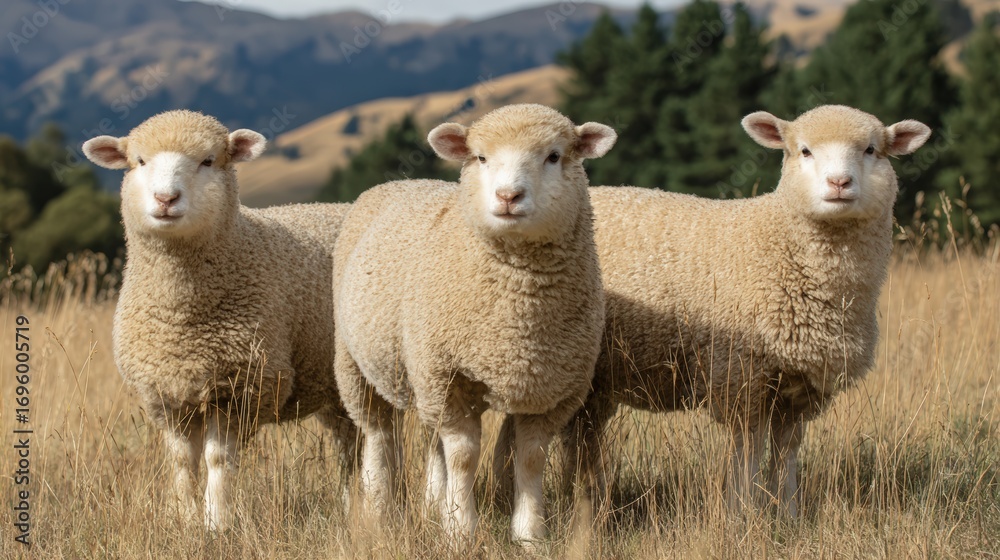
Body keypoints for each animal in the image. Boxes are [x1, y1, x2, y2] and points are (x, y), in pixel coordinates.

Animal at [82, 110, 359, 531]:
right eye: (139, 161)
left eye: (208, 161)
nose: (165, 199)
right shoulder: (167, 394)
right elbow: (182, 462)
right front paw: (184, 519)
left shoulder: (239, 388)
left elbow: (217, 460)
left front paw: (217, 523)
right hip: (333, 385)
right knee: (351, 446)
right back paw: (358, 507)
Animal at [332, 103, 616, 546]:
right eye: (481, 157)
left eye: (554, 156)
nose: (508, 196)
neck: (516, 319)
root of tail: (402, 182)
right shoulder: (447, 374)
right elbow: (464, 457)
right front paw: (461, 531)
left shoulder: (550, 387)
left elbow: (530, 459)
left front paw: (529, 534)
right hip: (357, 364)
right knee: (378, 433)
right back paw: (379, 508)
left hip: (422, 376)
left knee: (431, 438)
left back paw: (433, 505)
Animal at [494, 104, 931, 518]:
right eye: (804, 151)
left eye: (871, 150)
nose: (839, 184)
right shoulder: (740, 376)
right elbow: (748, 453)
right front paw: (743, 513)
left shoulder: (800, 387)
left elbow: (786, 454)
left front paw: (788, 515)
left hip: (590, 374)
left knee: (572, 436)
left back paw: (580, 501)